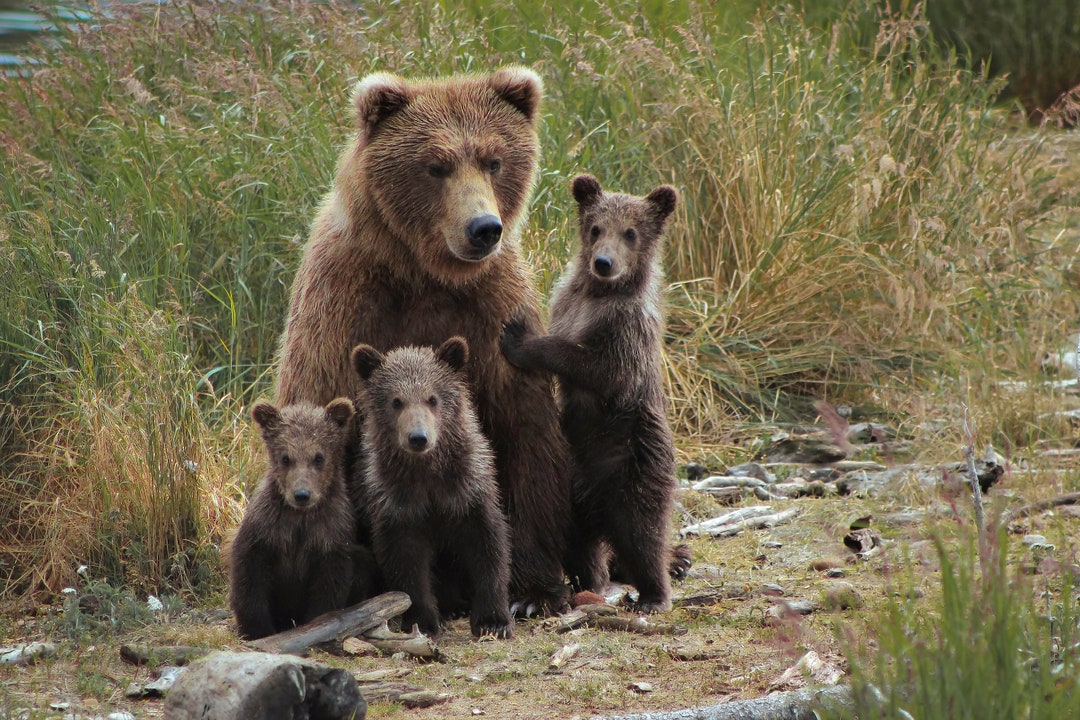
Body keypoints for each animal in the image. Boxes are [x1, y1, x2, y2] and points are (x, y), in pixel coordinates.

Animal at [229, 398, 371, 639]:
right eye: (286, 457)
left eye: (319, 457)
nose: (302, 494)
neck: (300, 519)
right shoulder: (266, 529)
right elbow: (250, 577)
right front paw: (257, 628)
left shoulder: (330, 535)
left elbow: (328, 587)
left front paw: (316, 623)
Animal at [351, 337, 513, 639]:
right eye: (396, 401)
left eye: (432, 398)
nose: (418, 437)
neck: (427, 474)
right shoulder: (397, 500)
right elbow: (406, 560)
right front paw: (423, 620)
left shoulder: (468, 489)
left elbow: (489, 545)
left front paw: (493, 619)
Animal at [500, 174, 680, 613]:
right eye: (596, 228)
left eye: (630, 232)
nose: (604, 263)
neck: (598, 295)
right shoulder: (566, 303)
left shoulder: (626, 333)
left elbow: (597, 367)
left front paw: (519, 338)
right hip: (572, 483)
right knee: (580, 541)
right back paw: (590, 582)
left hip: (634, 463)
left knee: (643, 533)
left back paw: (653, 594)